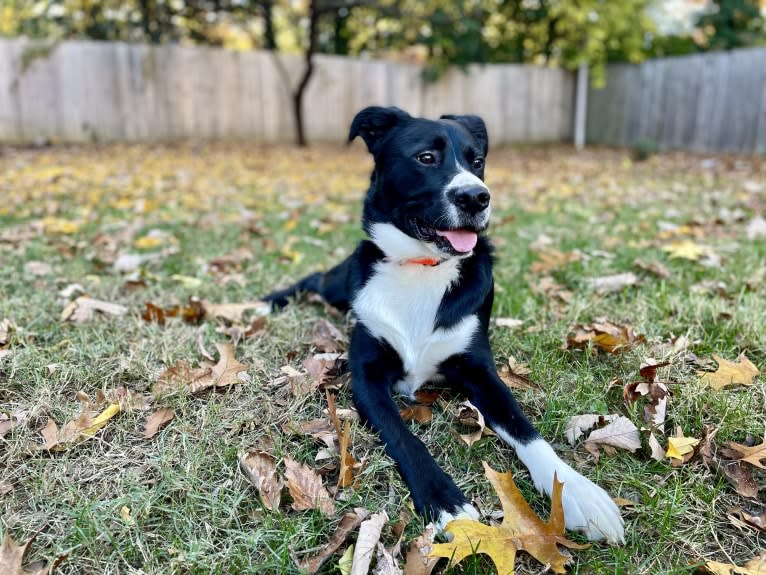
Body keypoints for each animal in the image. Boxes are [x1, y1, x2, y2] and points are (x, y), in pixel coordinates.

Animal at [264, 107, 624, 544]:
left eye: (477, 161)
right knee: (314, 280)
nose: (476, 196)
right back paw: (267, 302)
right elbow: (405, 437)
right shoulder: (366, 377)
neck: (424, 267)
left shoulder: (479, 371)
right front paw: (444, 499)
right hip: (336, 284)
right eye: (426, 158)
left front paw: (577, 493)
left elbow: (526, 430)